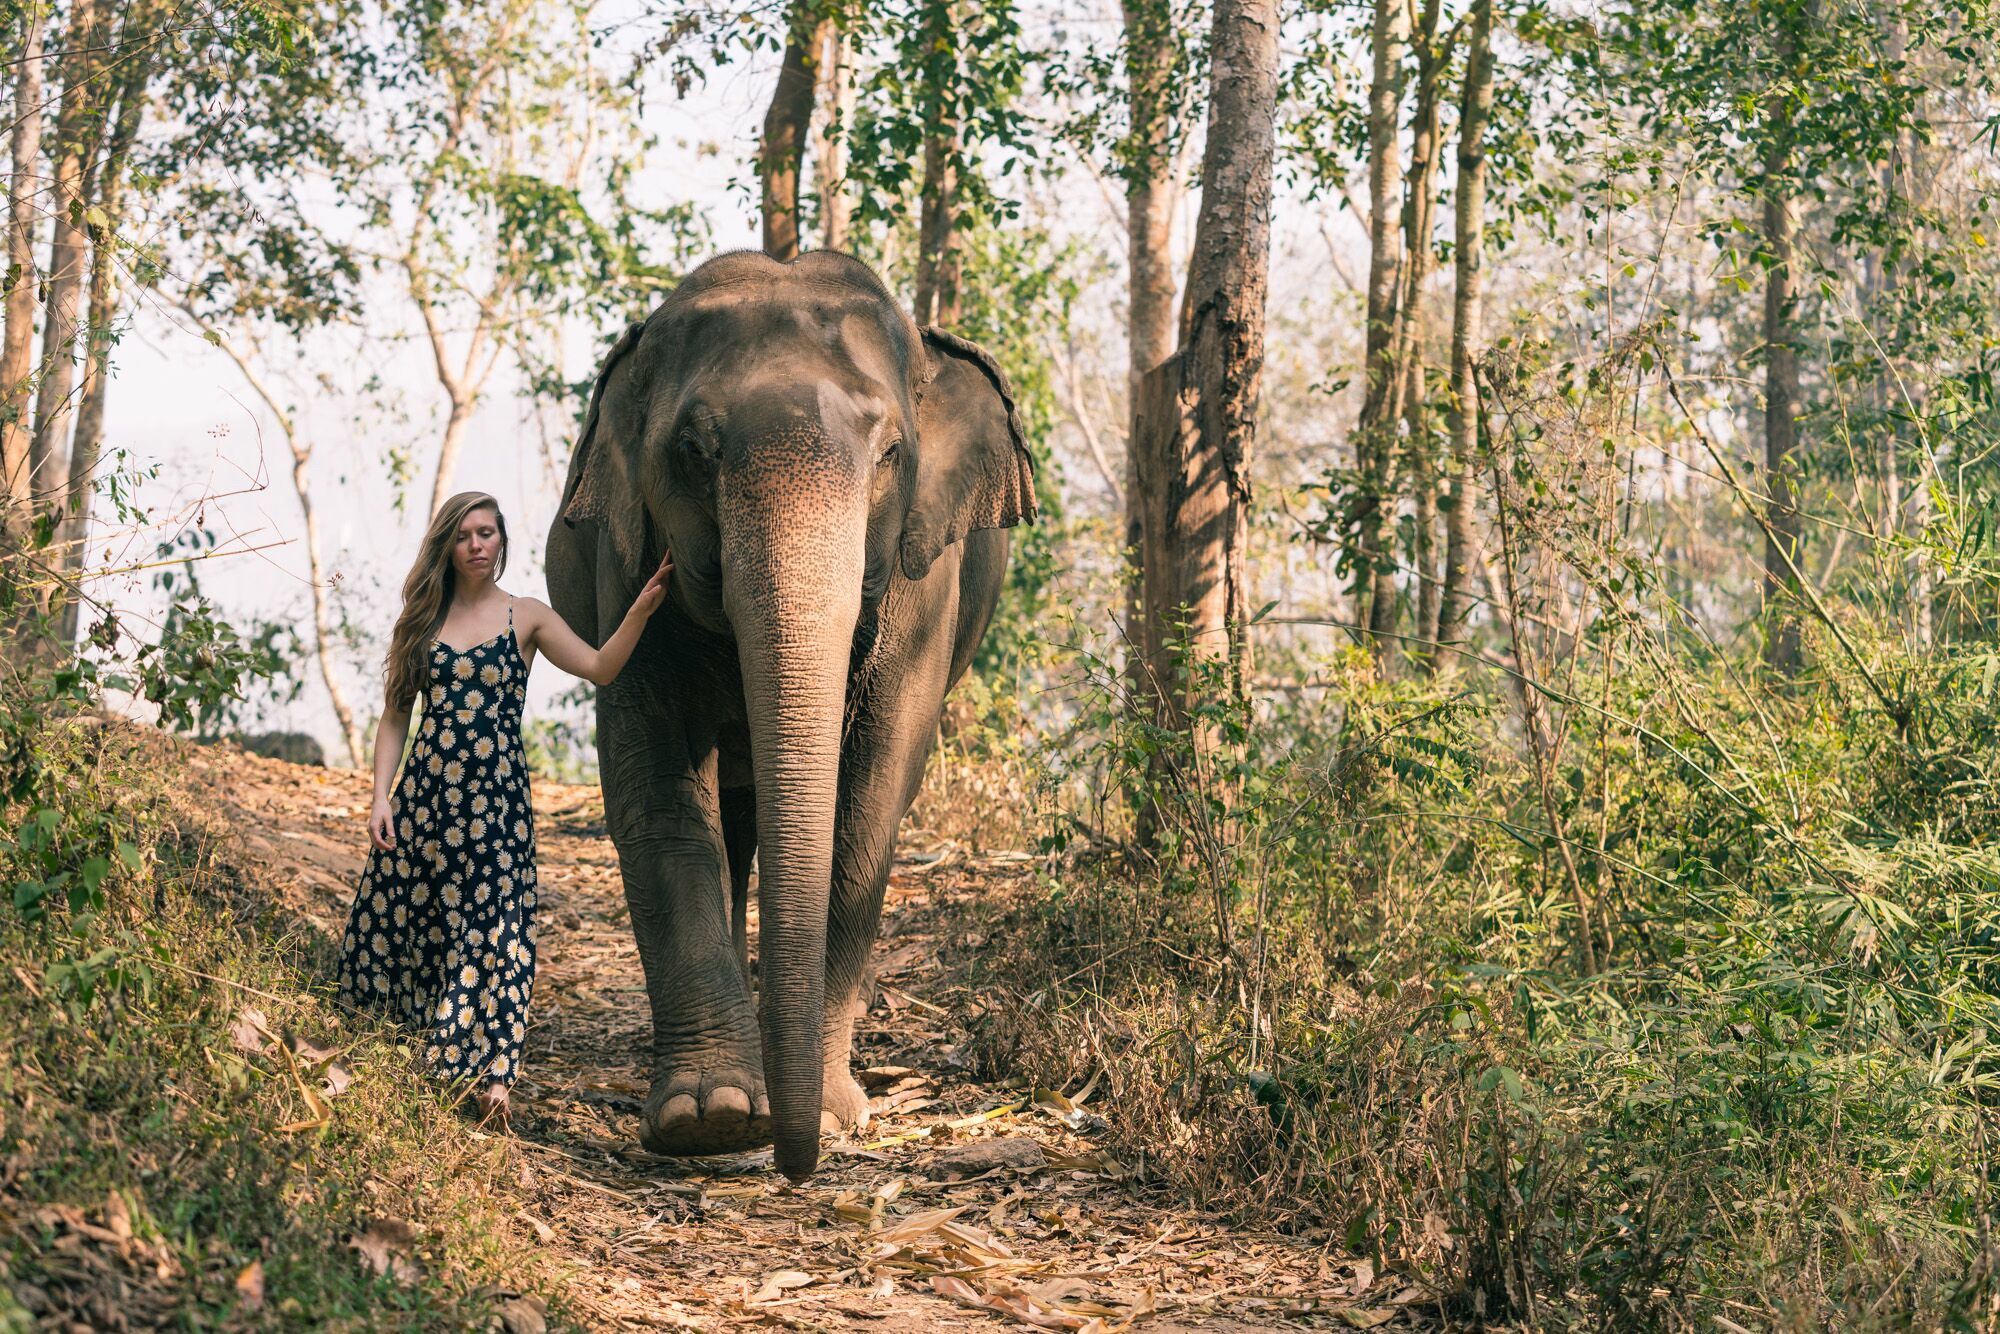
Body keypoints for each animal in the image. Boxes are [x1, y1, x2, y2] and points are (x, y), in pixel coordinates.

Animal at [548, 248, 1040, 1176]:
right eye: (693, 451)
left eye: (891, 453)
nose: (793, 1161)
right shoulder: (621, 568)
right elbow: (657, 790)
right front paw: (710, 1118)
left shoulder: (925, 581)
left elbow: (873, 792)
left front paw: (834, 1113)